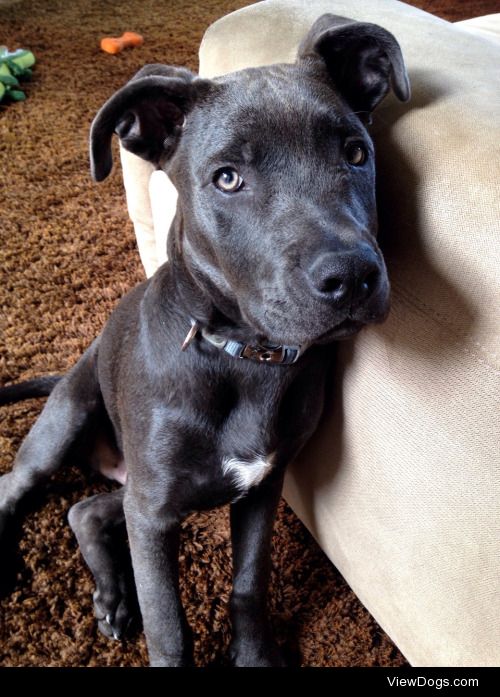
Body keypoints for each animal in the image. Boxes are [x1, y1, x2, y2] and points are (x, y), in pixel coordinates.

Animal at [0, 14, 408, 668]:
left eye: (355, 153)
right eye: (228, 178)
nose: (351, 277)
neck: (245, 357)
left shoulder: (259, 486)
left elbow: (248, 582)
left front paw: (254, 655)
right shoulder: (154, 513)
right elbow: (169, 626)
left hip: (138, 487)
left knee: (84, 509)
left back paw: (112, 598)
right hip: (73, 421)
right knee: (17, 487)